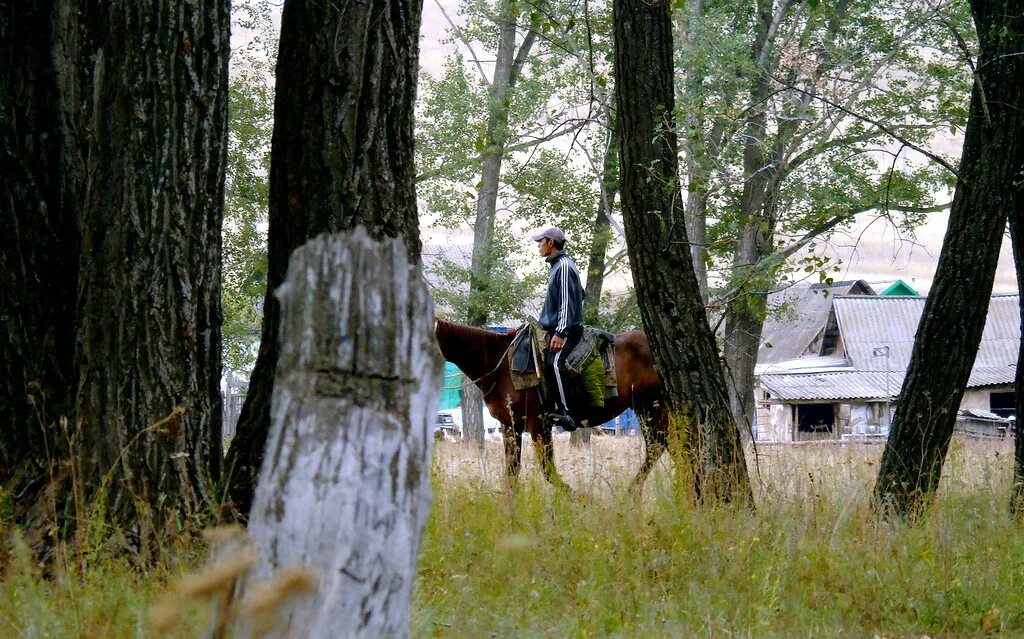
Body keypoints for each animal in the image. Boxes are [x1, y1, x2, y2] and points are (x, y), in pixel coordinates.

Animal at [434, 319, 667, 493]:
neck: (498, 365)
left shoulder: (538, 425)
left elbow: (548, 470)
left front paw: (578, 498)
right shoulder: (509, 426)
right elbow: (512, 471)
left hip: (653, 407)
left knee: (661, 445)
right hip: (646, 409)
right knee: (661, 446)